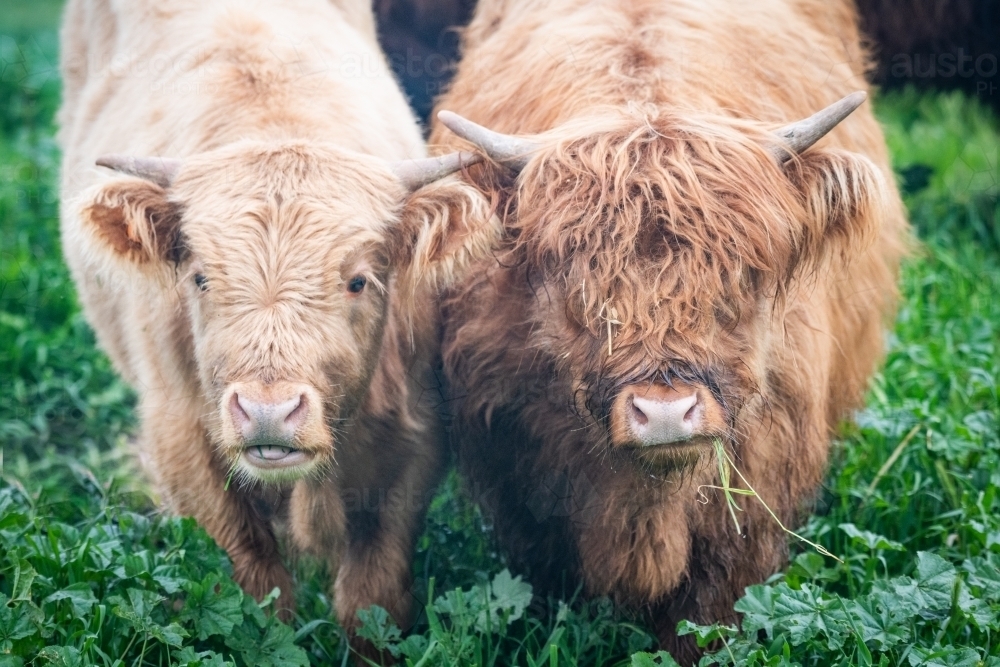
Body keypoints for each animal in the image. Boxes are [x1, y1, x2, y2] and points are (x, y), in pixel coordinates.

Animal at [56, 0, 494, 652]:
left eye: (357, 281)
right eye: (200, 278)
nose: (268, 411)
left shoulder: (411, 437)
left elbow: (372, 600)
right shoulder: (182, 439)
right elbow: (254, 591)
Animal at [426, 0, 912, 660]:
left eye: (741, 280)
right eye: (580, 290)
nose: (663, 412)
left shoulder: (757, 485)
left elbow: (708, 610)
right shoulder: (515, 474)